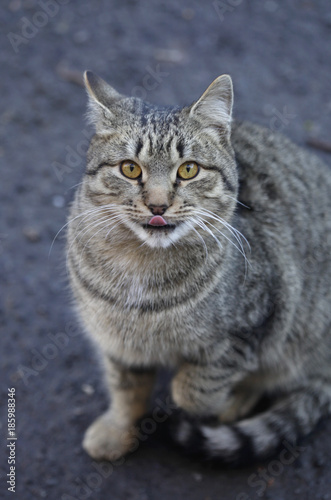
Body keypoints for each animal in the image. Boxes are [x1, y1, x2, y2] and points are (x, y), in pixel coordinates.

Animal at [67, 71, 331, 464]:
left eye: (188, 169)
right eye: (130, 168)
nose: (158, 205)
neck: (141, 266)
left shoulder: (253, 324)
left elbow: (193, 389)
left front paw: (201, 400)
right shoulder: (115, 338)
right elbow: (126, 388)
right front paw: (117, 430)